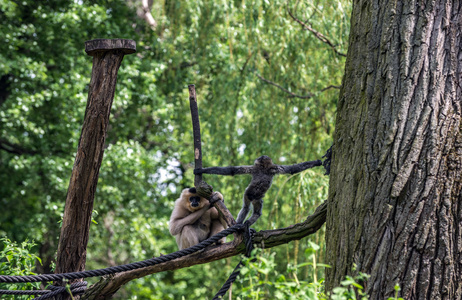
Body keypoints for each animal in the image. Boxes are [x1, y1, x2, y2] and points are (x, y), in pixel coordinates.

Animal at [194, 157, 322, 225]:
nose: (256, 159)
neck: (263, 168)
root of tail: (252, 195)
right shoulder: (273, 168)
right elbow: (292, 169)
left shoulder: (259, 168)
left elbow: (232, 170)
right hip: (256, 198)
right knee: (255, 211)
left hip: (248, 195)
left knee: (247, 208)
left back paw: (241, 223)